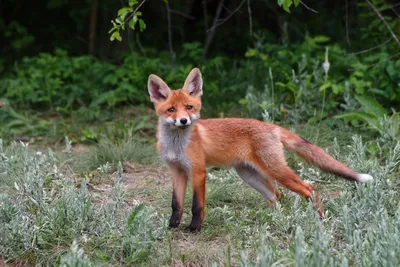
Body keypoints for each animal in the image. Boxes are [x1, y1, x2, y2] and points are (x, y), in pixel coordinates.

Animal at [148, 67, 374, 232]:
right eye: (171, 110)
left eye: (189, 107)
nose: (184, 121)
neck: (176, 146)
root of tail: (271, 126)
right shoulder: (177, 171)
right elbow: (176, 203)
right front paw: (172, 225)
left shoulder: (198, 171)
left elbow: (197, 205)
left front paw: (195, 228)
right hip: (250, 176)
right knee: (277, 196)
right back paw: (271, 219)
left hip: (275, 171)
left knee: (309, 189)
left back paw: (320, 219)